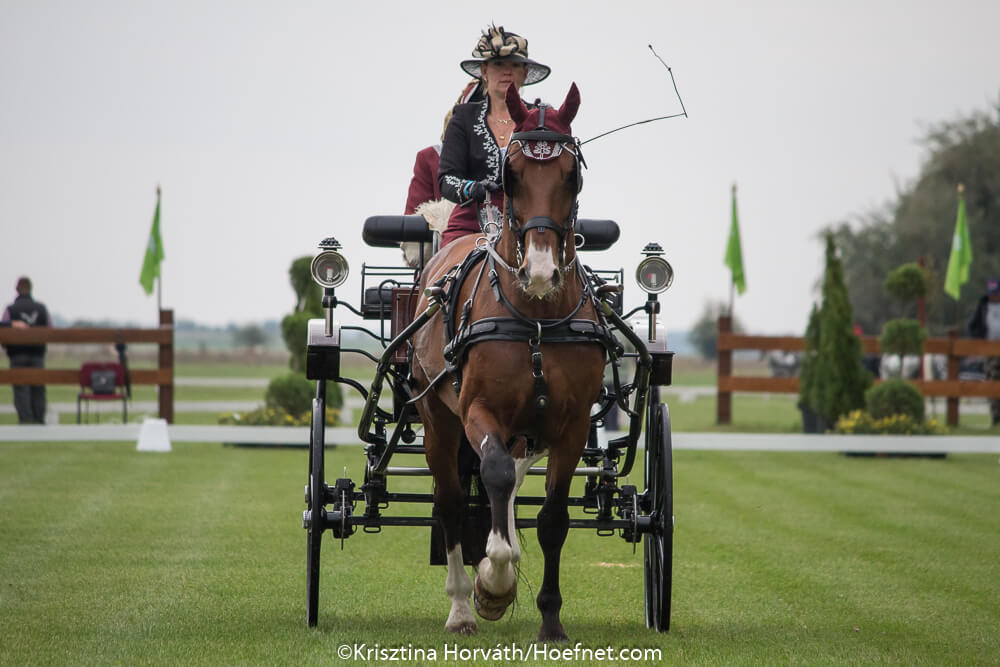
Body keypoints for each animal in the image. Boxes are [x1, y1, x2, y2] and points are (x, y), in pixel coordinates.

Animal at [410, 83, 604, 640]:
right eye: (508, 175)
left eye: (572, 175)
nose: (539, 271)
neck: (536, 315)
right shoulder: (478, 411)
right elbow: (491, 475)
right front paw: (492, 584)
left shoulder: (571, 425)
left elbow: (553, 518)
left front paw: (550, 620)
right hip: (438, 419)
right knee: (452, 502)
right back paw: (460, 606)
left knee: (514, 484)